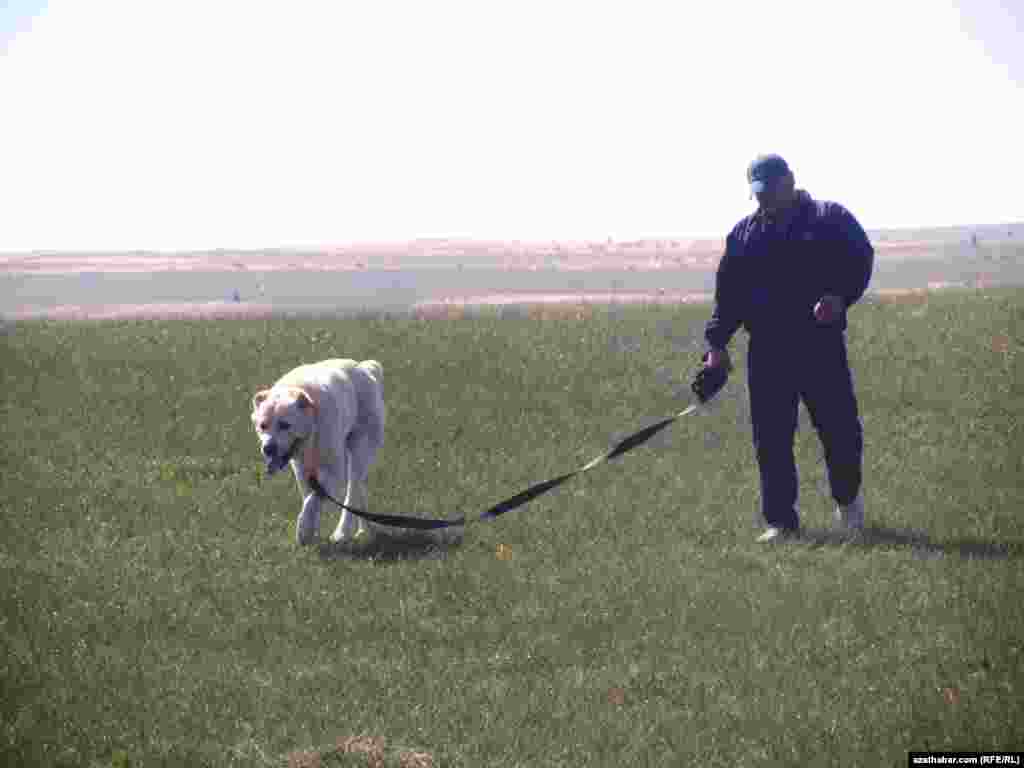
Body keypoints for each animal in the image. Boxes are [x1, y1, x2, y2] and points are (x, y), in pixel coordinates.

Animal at [249, 360, 385, 548]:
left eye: (285, 425)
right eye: (263, 425)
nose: (268, 448)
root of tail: (365, 368)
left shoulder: (334, 473)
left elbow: (313, 500)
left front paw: (303, 530)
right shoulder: (302, 471)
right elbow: (310, 499)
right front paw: (310, 531)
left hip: (359, 452)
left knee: (352, 491)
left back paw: (341, 533)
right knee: (359, 490)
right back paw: (364, 531)